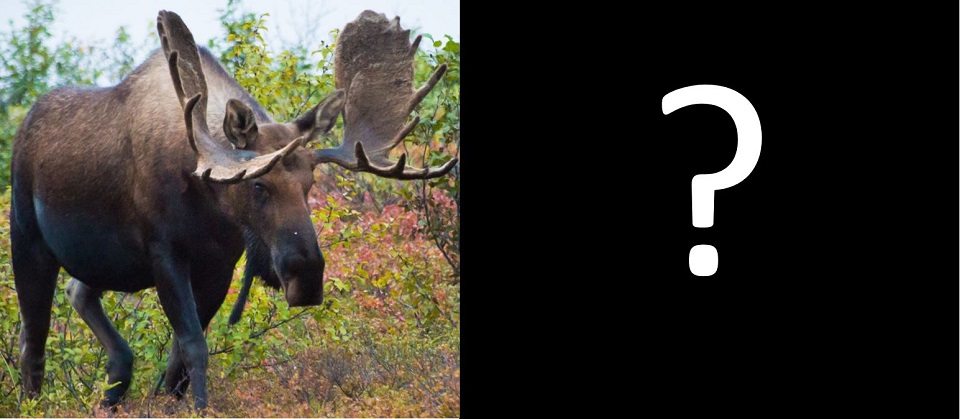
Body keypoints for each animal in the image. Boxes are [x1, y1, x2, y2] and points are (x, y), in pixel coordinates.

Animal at [10, 9, 454, 409]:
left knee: (81, 296)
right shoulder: (164, 252)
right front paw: (199, 407)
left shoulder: (221, 263)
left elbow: (179, 358)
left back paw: (111, 392)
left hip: (109, 263)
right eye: (258, 184)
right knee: (32, 341)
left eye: (310, 184)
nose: (307, 276)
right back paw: (33, 403)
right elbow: (193, 345)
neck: (206, 192)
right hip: (28, 237)